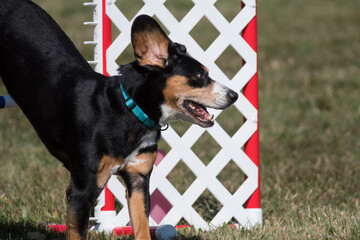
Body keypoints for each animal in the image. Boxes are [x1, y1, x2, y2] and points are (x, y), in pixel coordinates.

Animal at [0, 0, 239, 238]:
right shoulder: (81, 190)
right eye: (200, 75)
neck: (130, 113)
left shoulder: (138, 180)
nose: (234, 95)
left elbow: (142, 228)